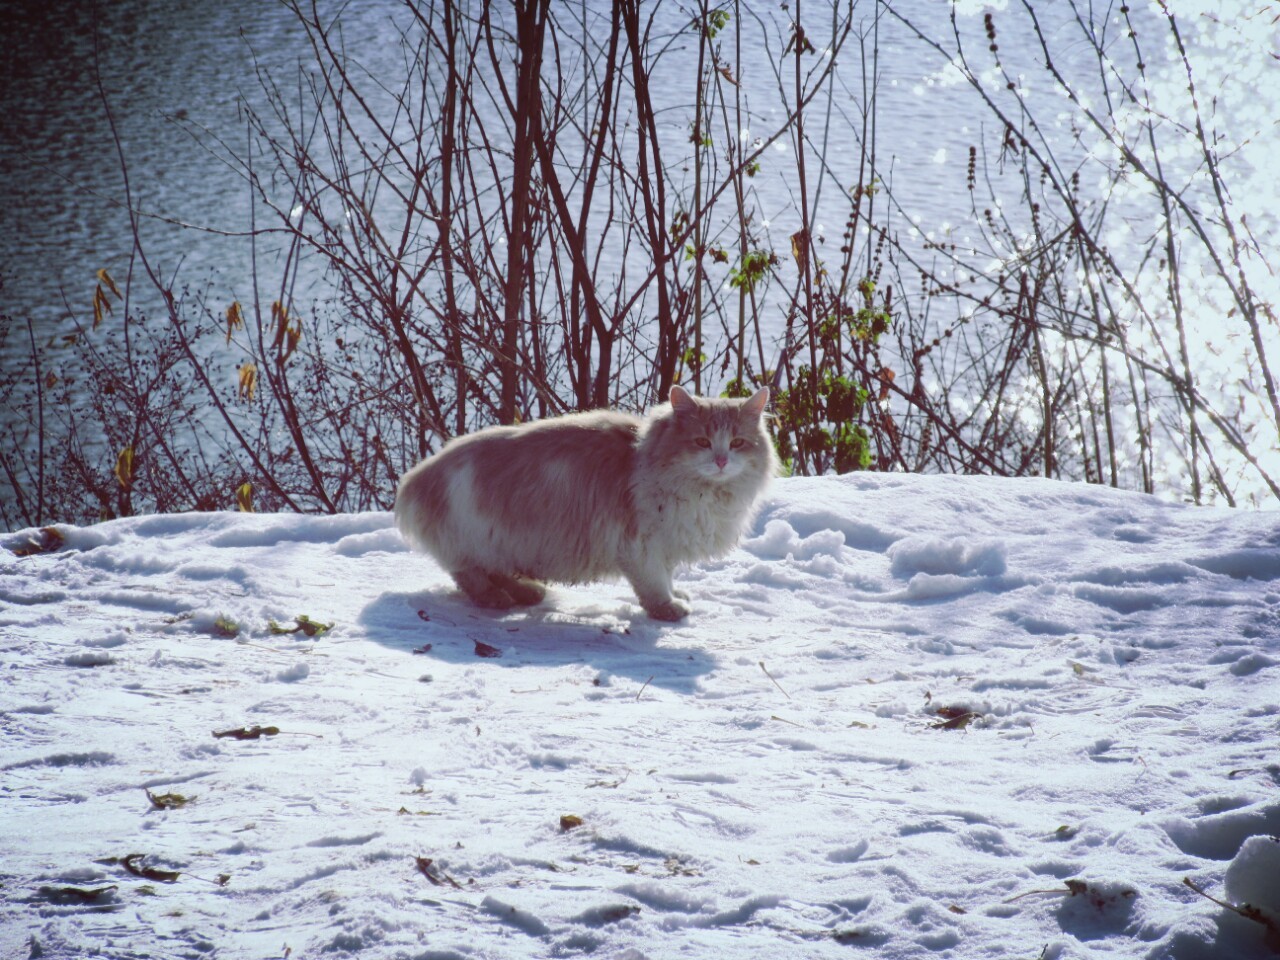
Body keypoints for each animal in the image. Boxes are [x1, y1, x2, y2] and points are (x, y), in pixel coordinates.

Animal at [394, 386, 773, 624]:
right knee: (468, 575)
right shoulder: (641, 545)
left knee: (493, 572)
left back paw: (528, 592)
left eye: (738, 443)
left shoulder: (663, 545)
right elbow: (654, 585)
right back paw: (498, 598)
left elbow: (666, 576)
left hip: (501, 544)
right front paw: (667, 609)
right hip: (477, 539)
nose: (721, 461)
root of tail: (417, 477)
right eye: (702, 442)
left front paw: (676, 594)